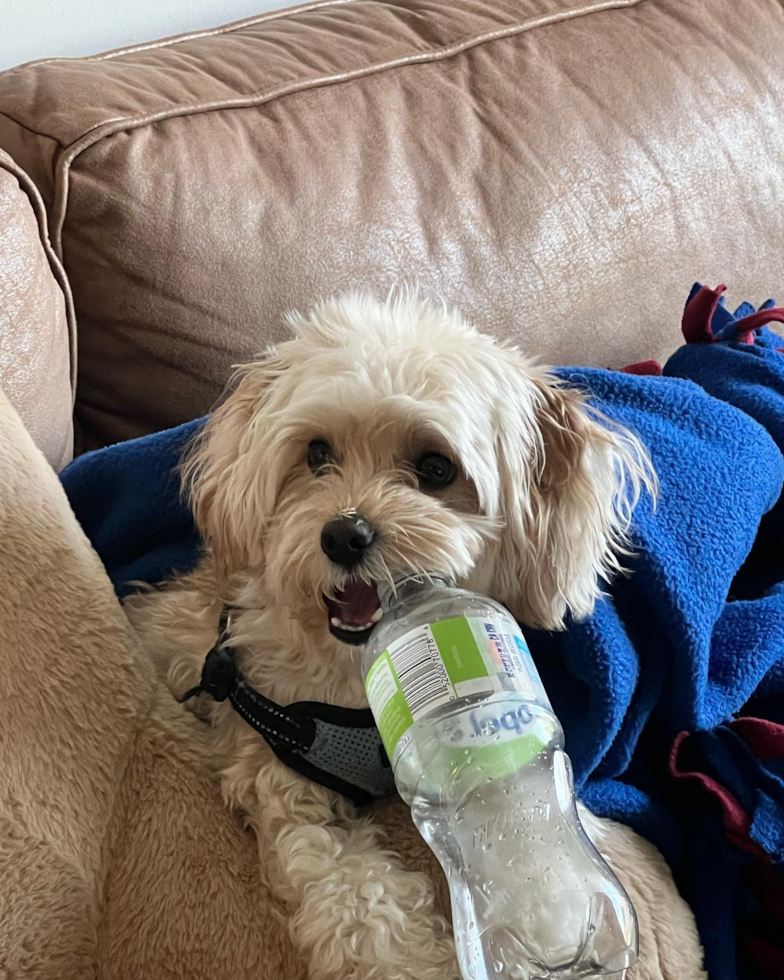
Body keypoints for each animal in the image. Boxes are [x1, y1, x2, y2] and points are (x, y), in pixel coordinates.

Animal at [124, 290, 704, 980]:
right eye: (316, 454)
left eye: (434, 467)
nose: (343, 534)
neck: (355, 689)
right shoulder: (279, 775)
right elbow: (359, 901)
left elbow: (520, 824)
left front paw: (553, 912)